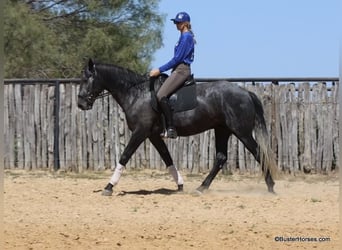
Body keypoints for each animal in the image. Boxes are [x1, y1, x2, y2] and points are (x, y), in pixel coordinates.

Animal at [78, 58, 278, 195]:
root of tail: (245, 92)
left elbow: (125, 156)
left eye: (86, 79)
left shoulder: (140, 132)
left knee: (258, 153)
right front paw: (180, 185)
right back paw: (201, 188)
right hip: (222, 130)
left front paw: (109, 187)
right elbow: (167, 158)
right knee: (221, 158)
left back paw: (271, 187)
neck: (136, 93)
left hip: (241, 132)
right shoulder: (153, 135)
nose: (81, 104)